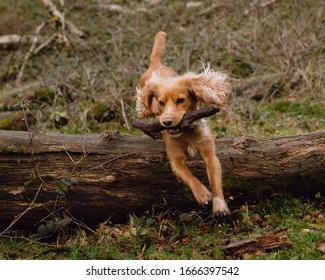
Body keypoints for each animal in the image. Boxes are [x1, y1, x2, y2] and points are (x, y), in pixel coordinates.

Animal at [135, 31, 229, 217]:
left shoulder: (210, 154)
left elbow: (215, 179)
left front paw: (219, 205)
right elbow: (188, 175)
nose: (166, 122)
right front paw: (202, 194)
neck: (186, 132)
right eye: (161, 102)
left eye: (180, 100)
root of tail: (156, 64)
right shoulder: (175, 160)